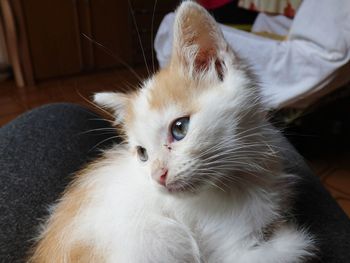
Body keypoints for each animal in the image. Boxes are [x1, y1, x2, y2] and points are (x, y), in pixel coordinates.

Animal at [29, 1, 314, 262]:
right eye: (142, 153)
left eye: (179, 128)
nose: (158, 176)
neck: (239, 176)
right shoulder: (231, 250)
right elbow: (287, 249)